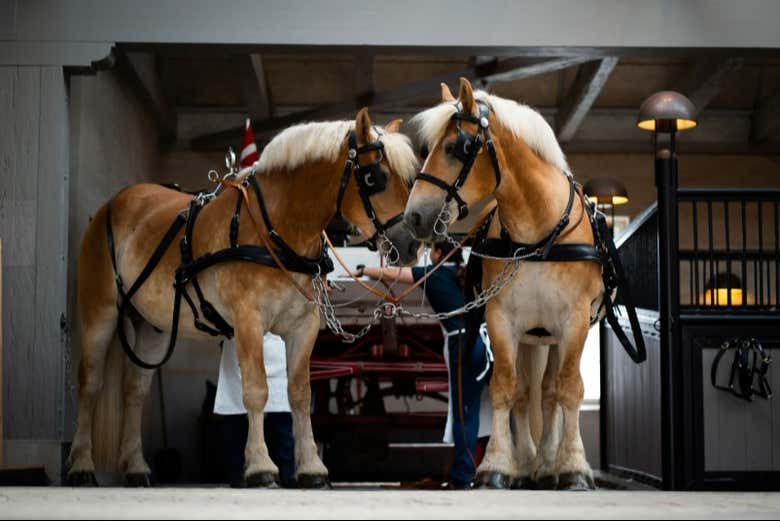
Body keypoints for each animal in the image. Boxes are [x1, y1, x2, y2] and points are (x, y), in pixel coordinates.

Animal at [66, 108, 420, 488]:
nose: (412, 244)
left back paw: (136, 467)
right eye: (375, 177)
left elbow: (300, 395)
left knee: (134, 391)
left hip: (152, 327)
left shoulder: (304, 325)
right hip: (100, 312)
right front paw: (261, 466)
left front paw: (311, 468)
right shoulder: (249, 320)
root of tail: (114, 203)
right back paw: (81, 464)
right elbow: (256, 390)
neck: (275, 227)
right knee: (90, 383)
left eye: (409, 177)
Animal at [404, 79, 604, 491]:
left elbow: (569, 388)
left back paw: (550, 463)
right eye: (426, 149)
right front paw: (497, 465)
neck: (539, 236)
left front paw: (574, 466)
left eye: (457, 148)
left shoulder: (575, 321)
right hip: (531, 334)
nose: (413, 216)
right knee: (530, 393)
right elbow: (506, 389)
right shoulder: (501, 319)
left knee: (551, 391)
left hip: (554, 334)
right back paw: (531, 463)